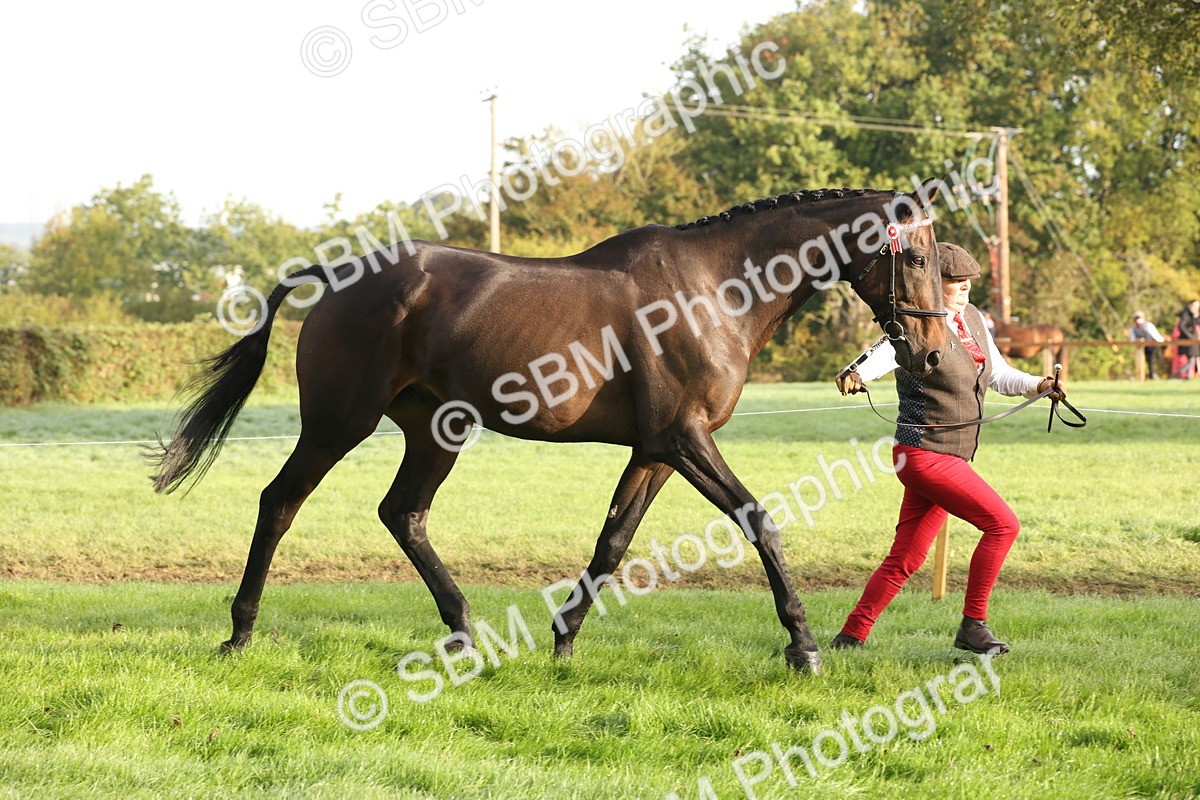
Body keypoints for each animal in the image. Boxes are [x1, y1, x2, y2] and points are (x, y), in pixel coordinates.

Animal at [148, 181, 948, 674]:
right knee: (280, 503)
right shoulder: (686, 440)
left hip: (436, 430)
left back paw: (464, 633)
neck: (716, 292)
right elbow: (759, 521)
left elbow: (612, 542)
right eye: (914, 254)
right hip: (337, 423)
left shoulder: (656, 451)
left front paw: (563, 643)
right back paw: (239, 633)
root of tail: (337, 275)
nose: (933, 350)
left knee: (403, 514)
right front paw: (804, 646)